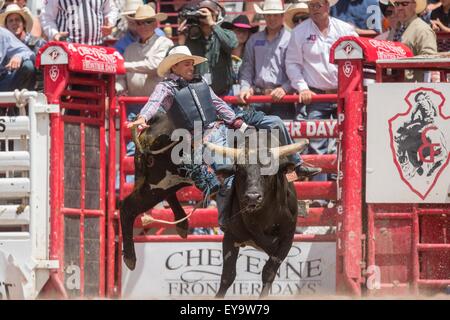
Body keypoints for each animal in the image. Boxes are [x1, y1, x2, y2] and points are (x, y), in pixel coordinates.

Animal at [118, 112, 308, 298]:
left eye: (270, 171)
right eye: (239, 171)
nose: (253, 197)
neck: (262, 219)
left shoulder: (287, 239)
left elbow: (268, 273)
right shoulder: (231, 237)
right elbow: (227, 276)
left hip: (167, 183)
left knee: (165, 196)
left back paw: (182, 224)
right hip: (156, 182)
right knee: (127, 207)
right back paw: (130, 258)